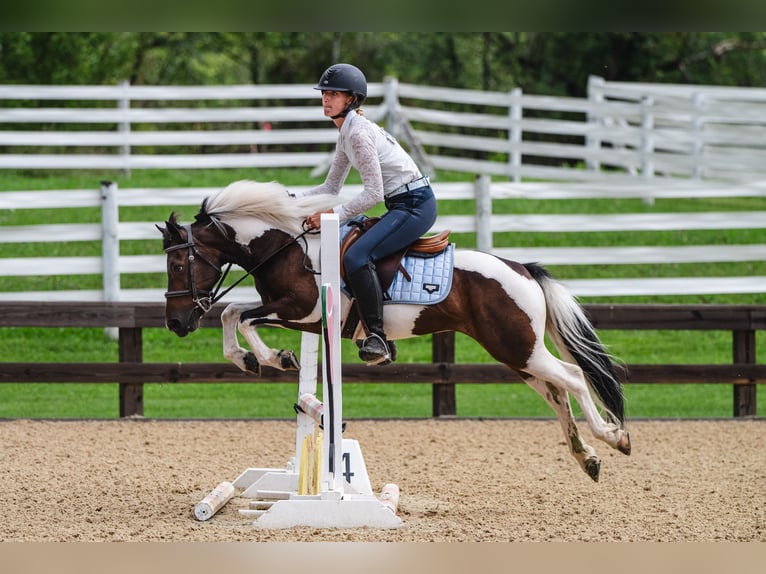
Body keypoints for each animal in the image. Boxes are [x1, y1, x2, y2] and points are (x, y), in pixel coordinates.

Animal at [158, 179, 631, 481]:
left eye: (179, 265)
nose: (176, 323)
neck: (283, 248)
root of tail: (524, 270)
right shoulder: (295, 315)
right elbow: (231, 313)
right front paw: (250, 359)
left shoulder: (303, 311)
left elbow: (241, 316)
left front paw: (274, 357)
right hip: (516, 353)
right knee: (555, 393)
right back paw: (587, 458)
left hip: (519, 348)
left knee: (572, 378)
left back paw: (614, 436)